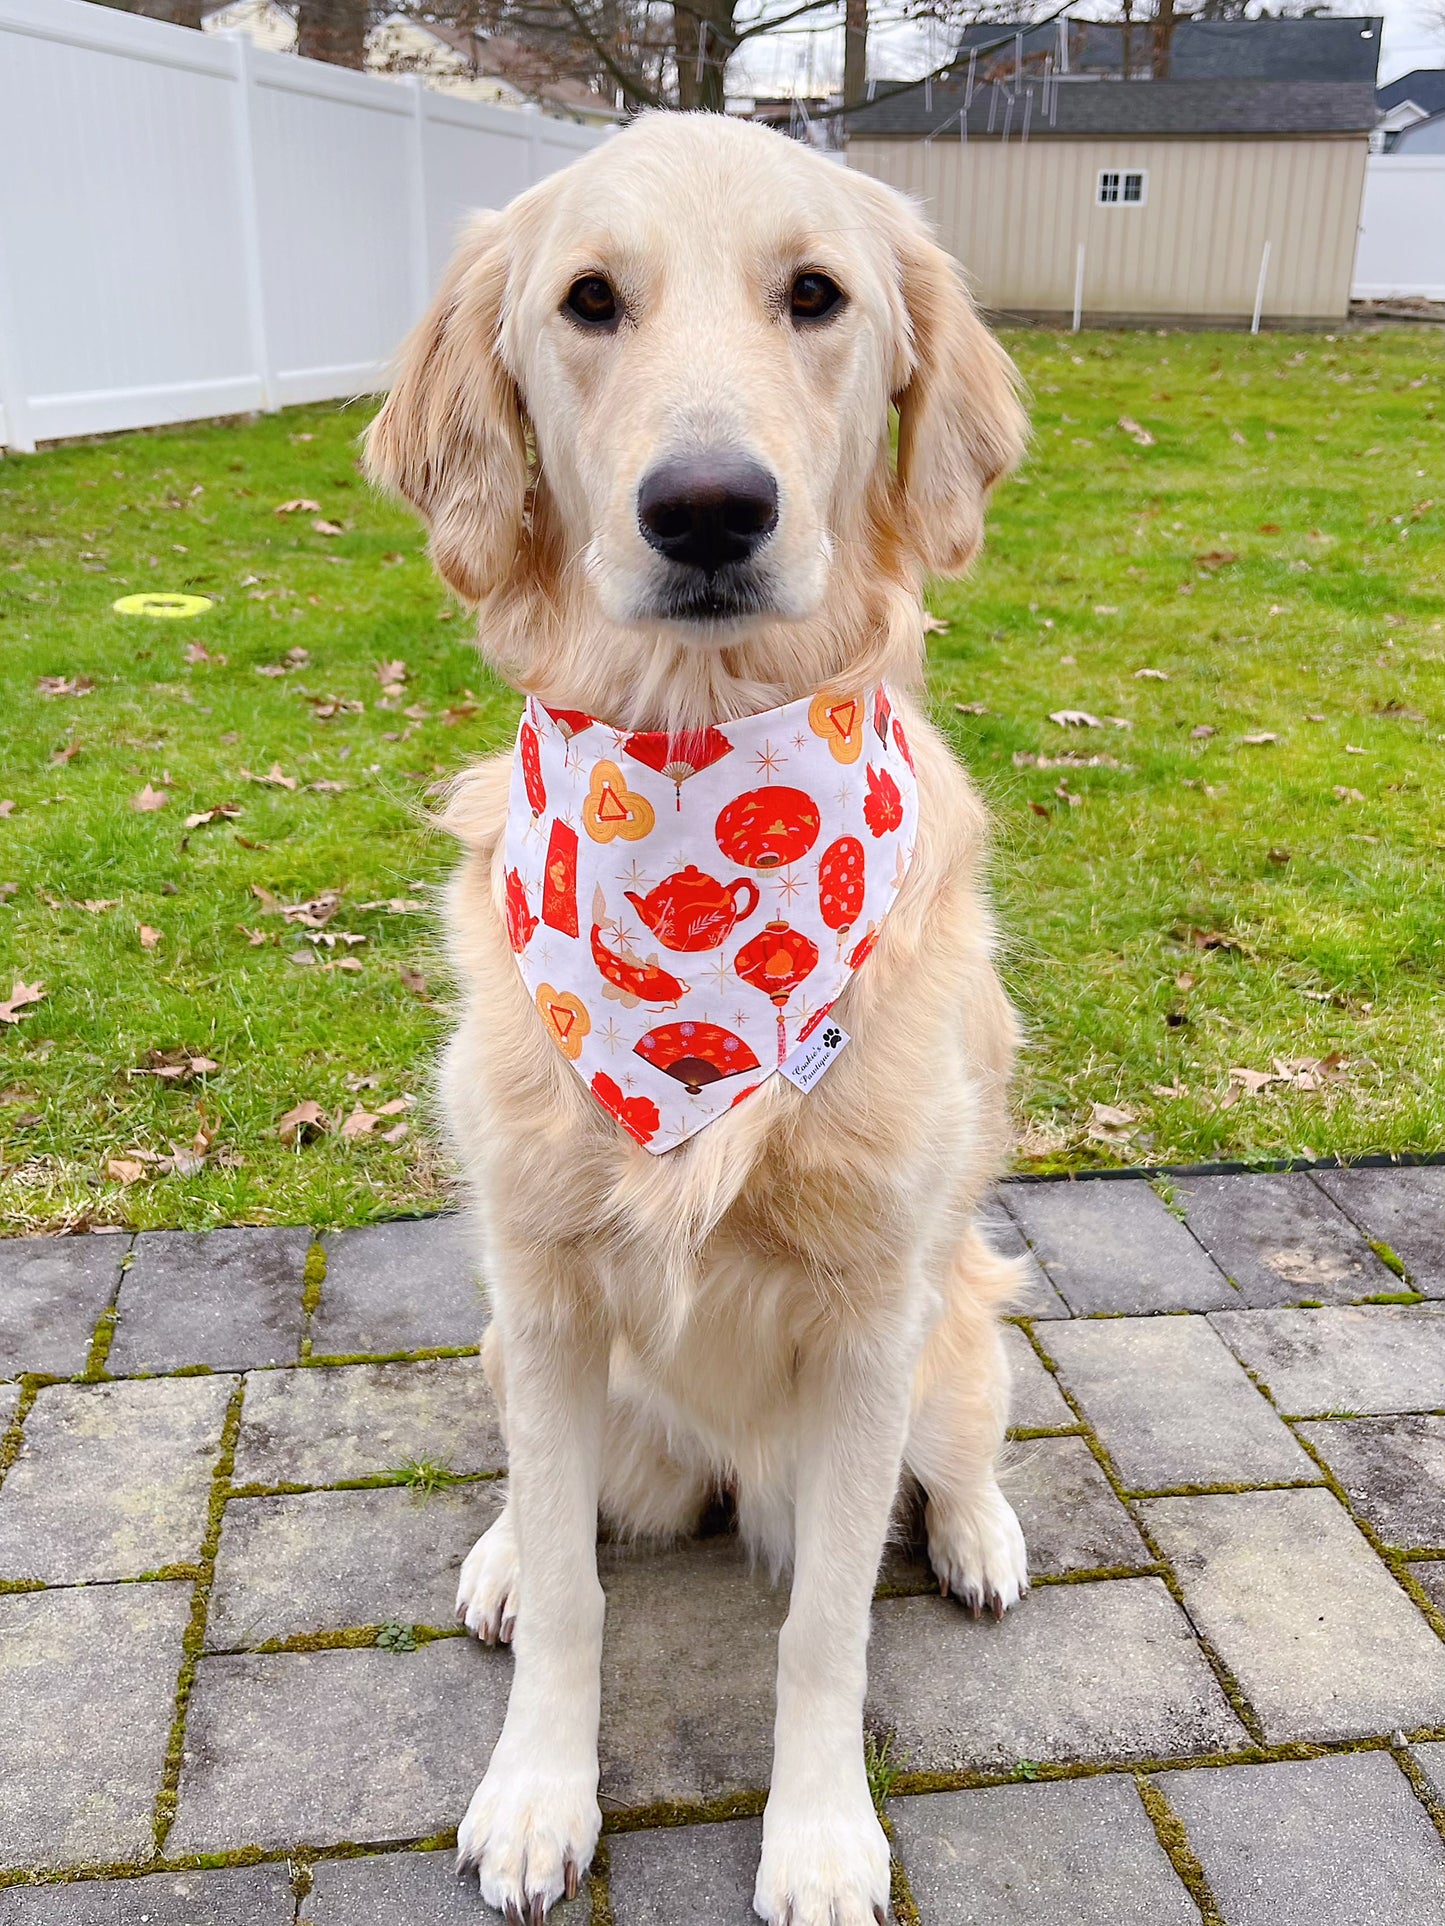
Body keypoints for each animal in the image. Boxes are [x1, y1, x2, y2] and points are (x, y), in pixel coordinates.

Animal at [373, 109, 1032, 1926]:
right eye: (589, 301)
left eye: (816, 295)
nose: (711, 508)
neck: (689, 762)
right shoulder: (537, 1283)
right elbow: (577, 1597)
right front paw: (539, 1790)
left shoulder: (873, 1317)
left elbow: (824, 1628)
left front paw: (819, 1837)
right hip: (511, 1340)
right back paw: (500, 1552)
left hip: (958, 1323)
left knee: (962, 1455)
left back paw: (979, 1534)